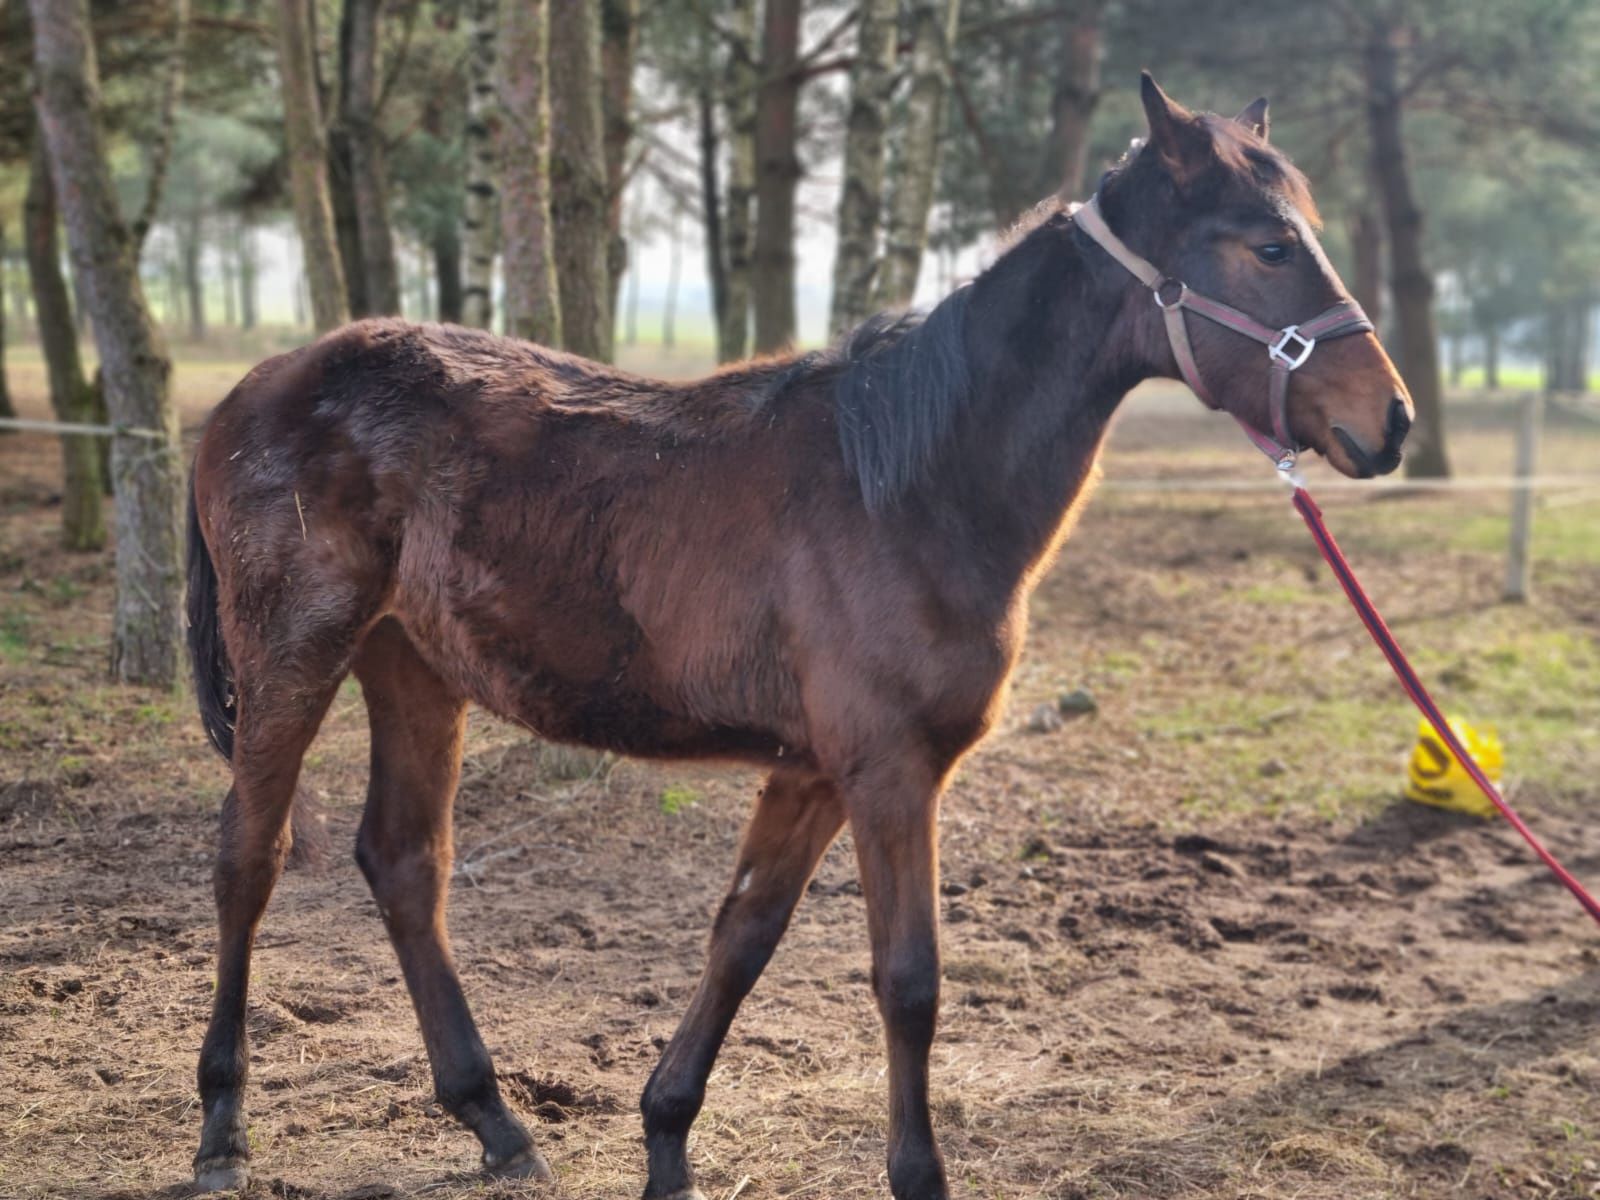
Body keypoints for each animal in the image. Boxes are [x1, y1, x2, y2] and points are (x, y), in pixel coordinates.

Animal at [190, 80, 1414, 1196]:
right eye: (1269, 246)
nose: (1390, 420)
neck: (908, 486)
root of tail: (253, 387)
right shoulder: (889, 770)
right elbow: (908, 979)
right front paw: (915, 1176)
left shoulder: (814, 772)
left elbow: (742, 936)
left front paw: (666, 1139)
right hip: (293, 652)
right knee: (250, 855)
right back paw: (222, 1131)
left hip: (413, 668)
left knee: (404, 861)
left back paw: (495, 1121)